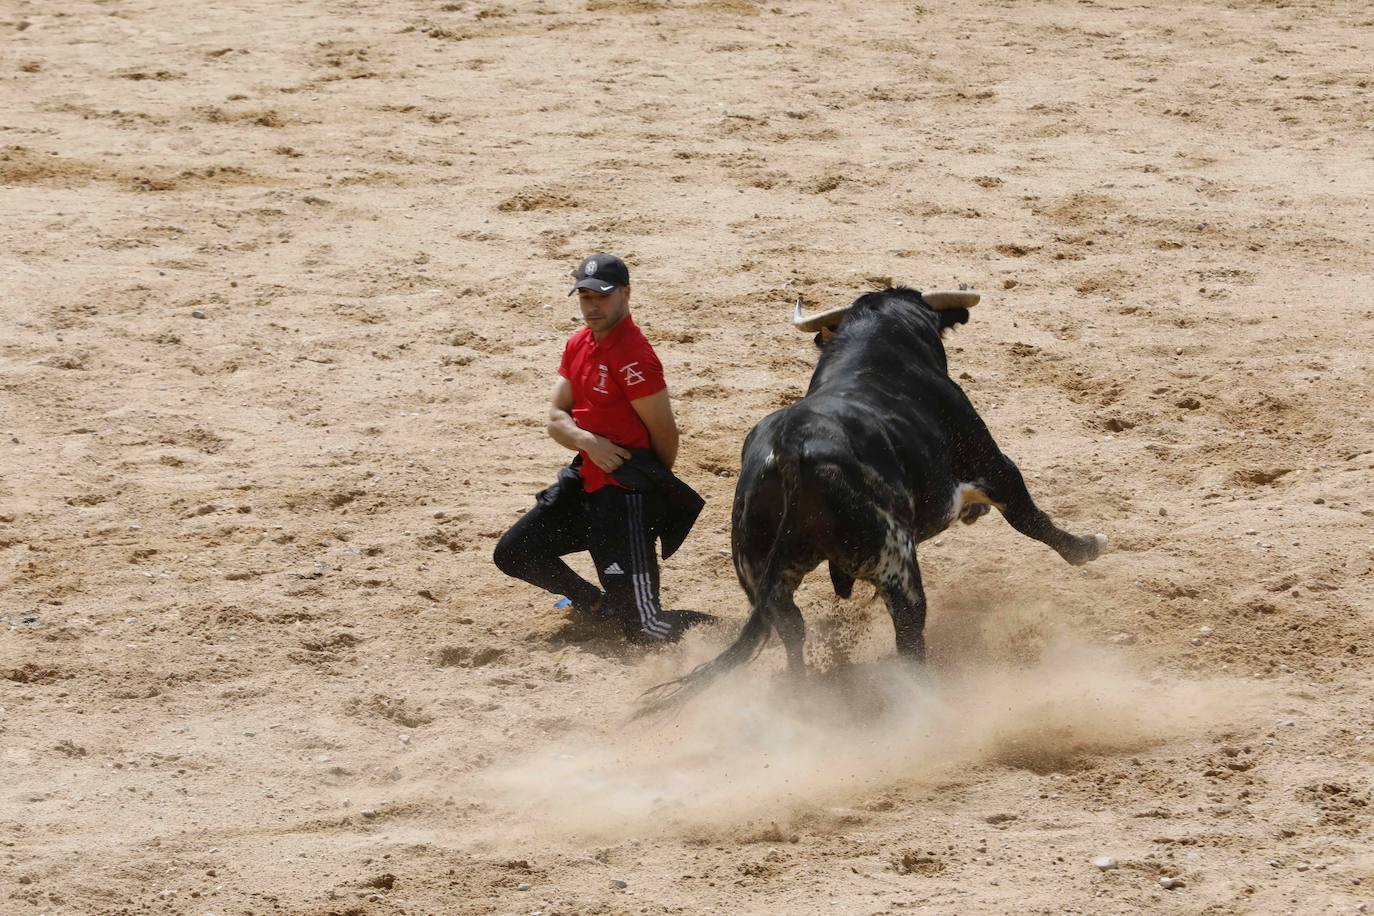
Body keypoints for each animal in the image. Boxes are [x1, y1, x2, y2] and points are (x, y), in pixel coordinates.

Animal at [640, 287, 1104, 714]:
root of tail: (793, 446)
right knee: (909, 628)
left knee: (792, 630)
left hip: (759, 573)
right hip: (895, 561)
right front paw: (1087, 547)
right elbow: (1031, 518)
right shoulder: (993, 465)